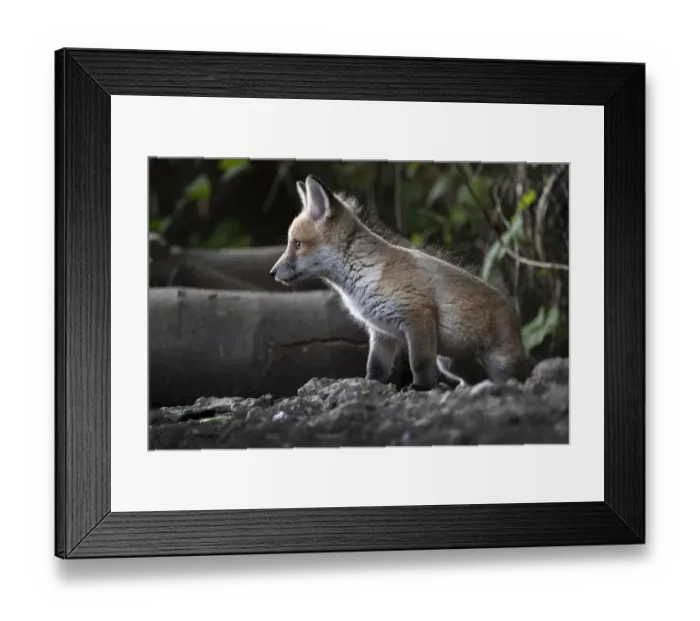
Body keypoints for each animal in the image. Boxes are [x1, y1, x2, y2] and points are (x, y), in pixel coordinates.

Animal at [270, 175, 532, 391]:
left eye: (297, 244)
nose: (272, 272)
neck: (364, 277)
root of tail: (514, 314)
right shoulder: (380, 333)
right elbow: (376, 368)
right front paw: (368, 386)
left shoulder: (418, 316)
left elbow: (419, 363)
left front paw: (421, 388)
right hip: (450, 362)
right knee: (475, 379)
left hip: (497, 363)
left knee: (513, 378)